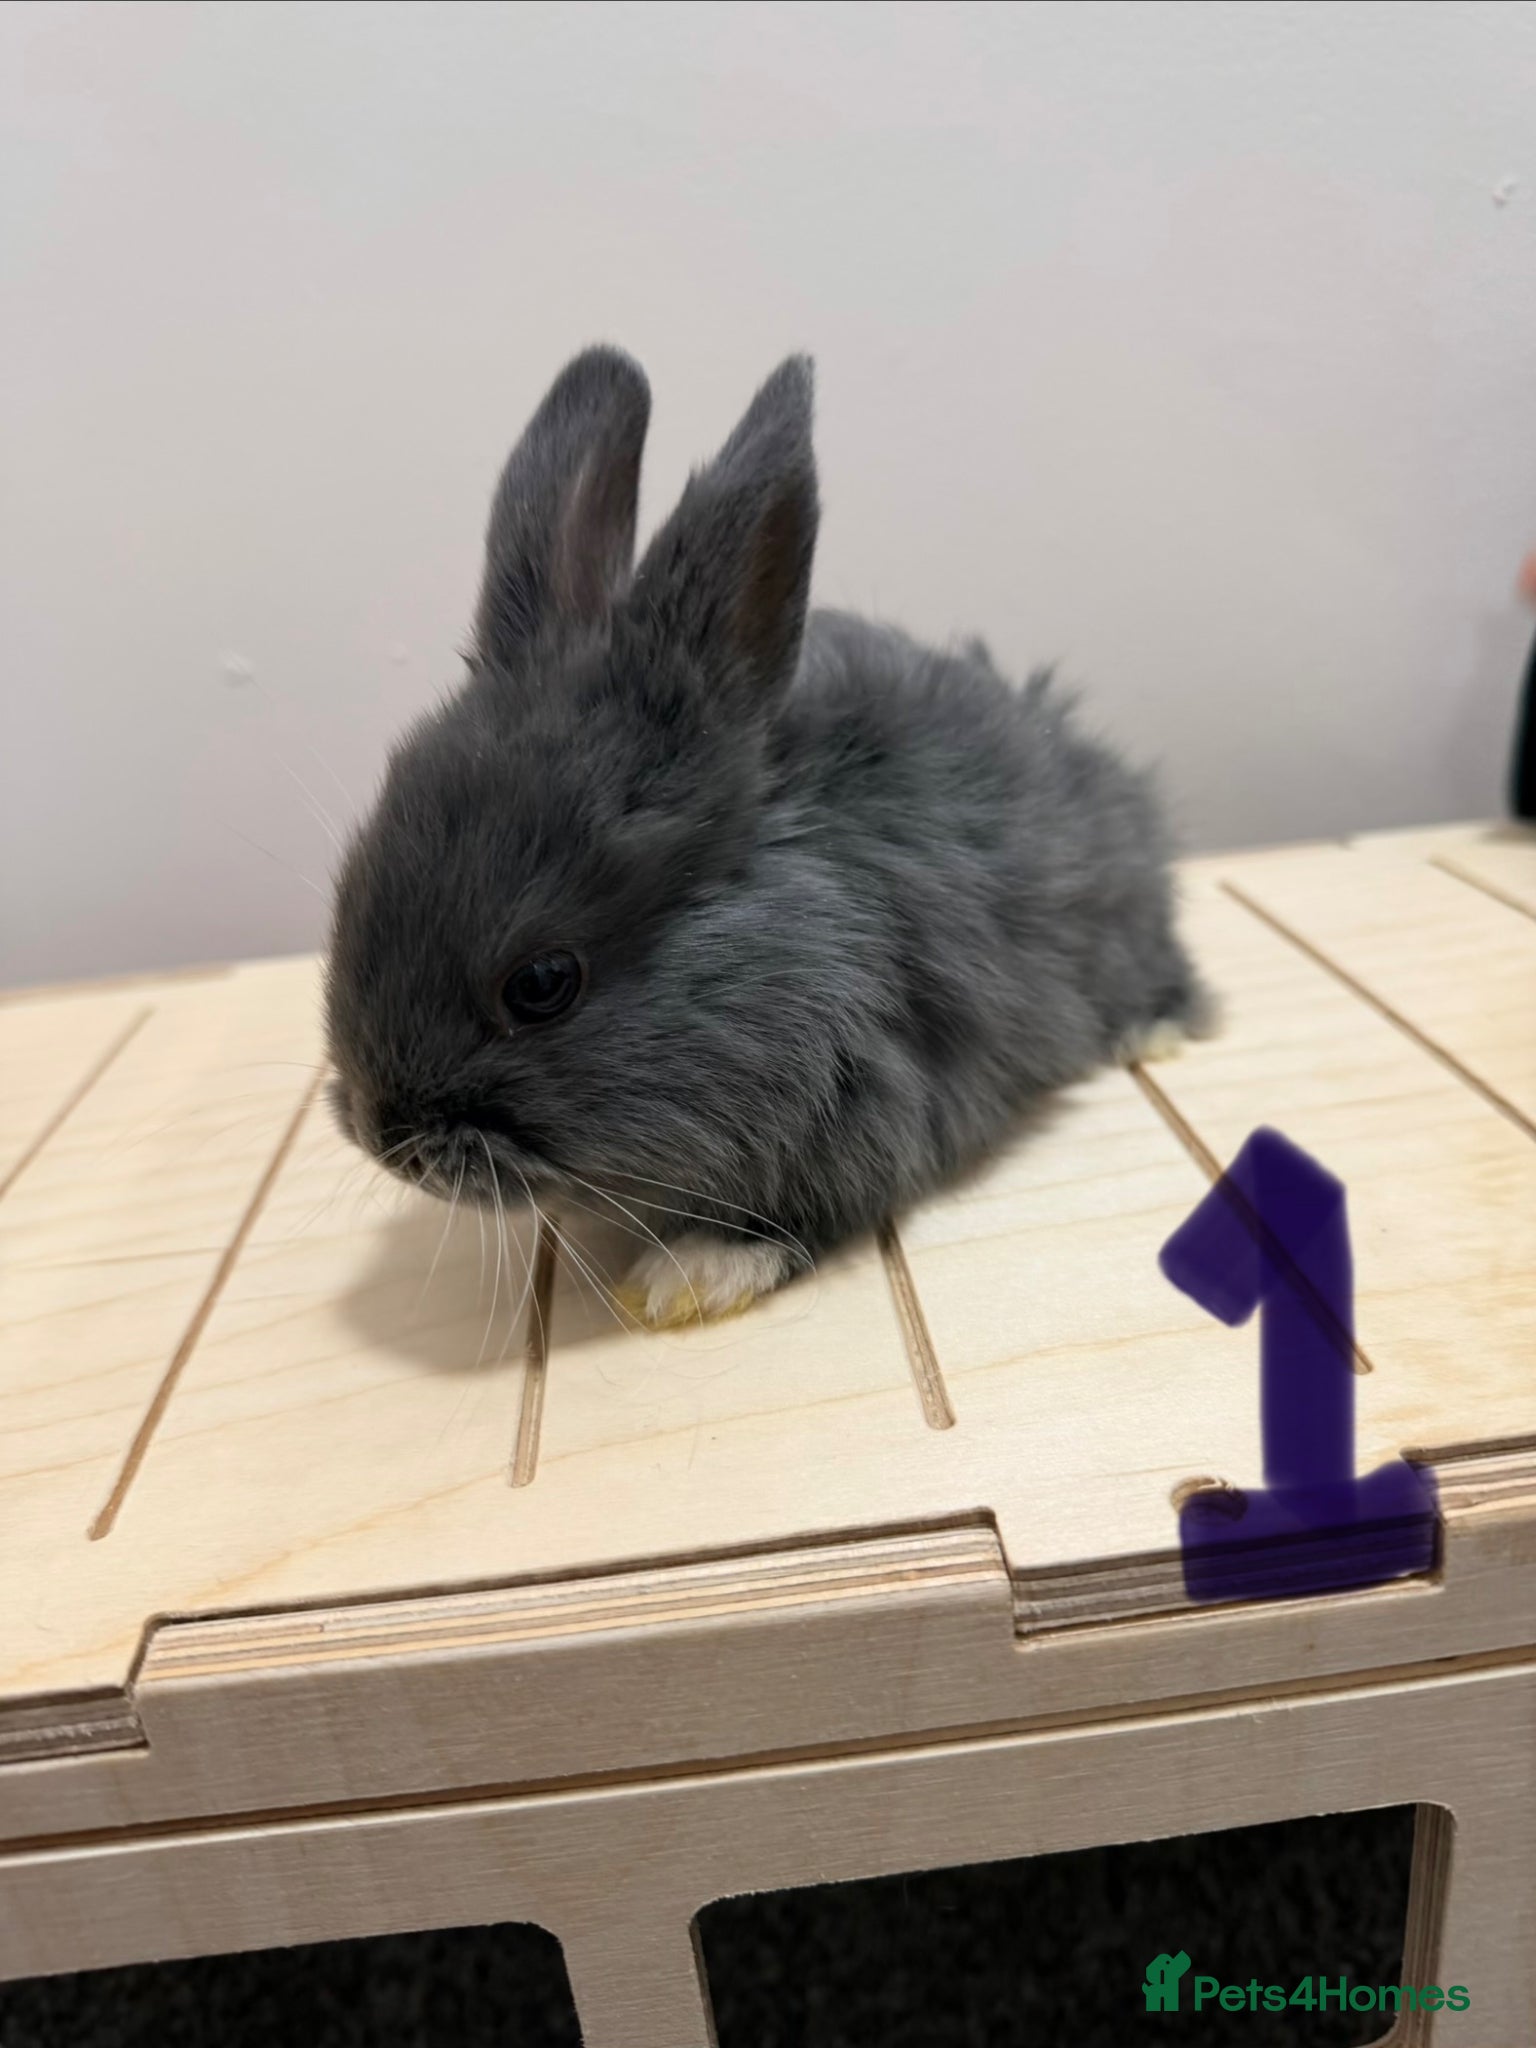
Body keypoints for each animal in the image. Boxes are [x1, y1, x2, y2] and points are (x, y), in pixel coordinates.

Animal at [325, 346, 1211, 1327]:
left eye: (543, 984)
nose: (385, 1139)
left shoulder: (875, 1099)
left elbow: (791, 1214)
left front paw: (684, 1279)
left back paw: (1148, 1033)